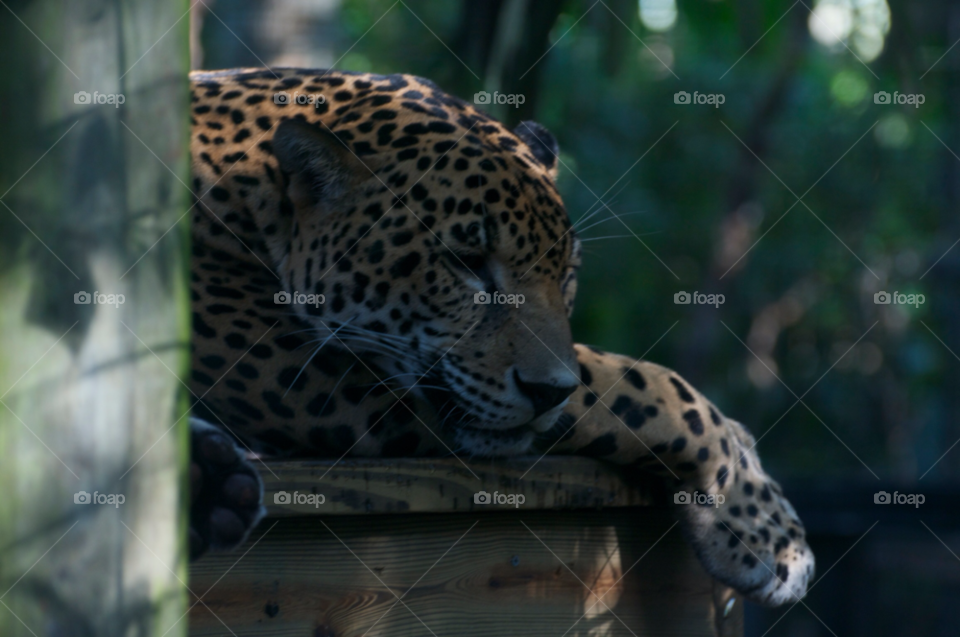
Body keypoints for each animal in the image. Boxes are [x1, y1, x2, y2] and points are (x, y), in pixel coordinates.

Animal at [187, 67, 814, 607]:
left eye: (566, 272)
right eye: (466, 262)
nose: (548, 392)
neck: (254, 198)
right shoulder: (308, 373)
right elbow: (640, 385)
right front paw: (769, 527)